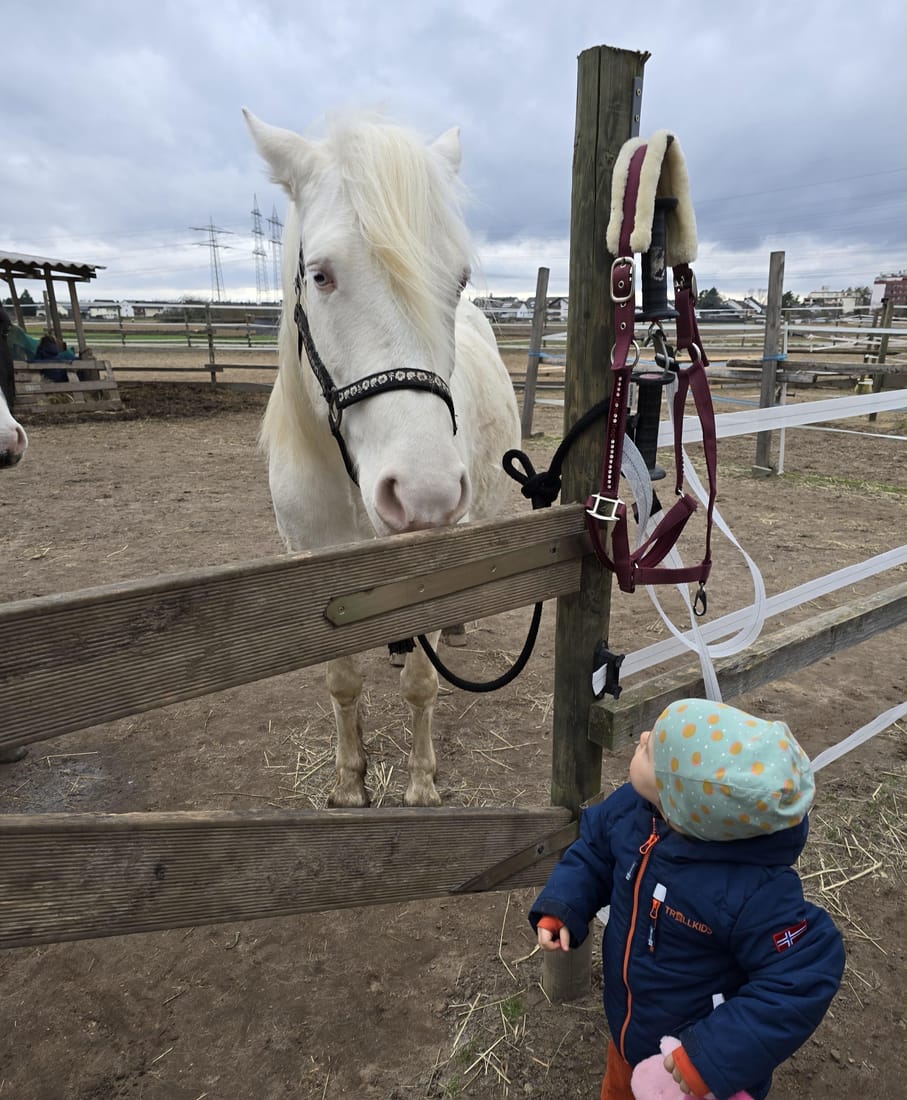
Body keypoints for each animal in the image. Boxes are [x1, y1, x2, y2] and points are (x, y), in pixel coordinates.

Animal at [244, 110, 522, 807]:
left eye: (459, 279)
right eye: (320, 274)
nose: (425, 494)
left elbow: (422, 685)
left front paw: (420, 784)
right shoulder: (314, 562)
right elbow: (342, 683)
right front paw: (349, 781)